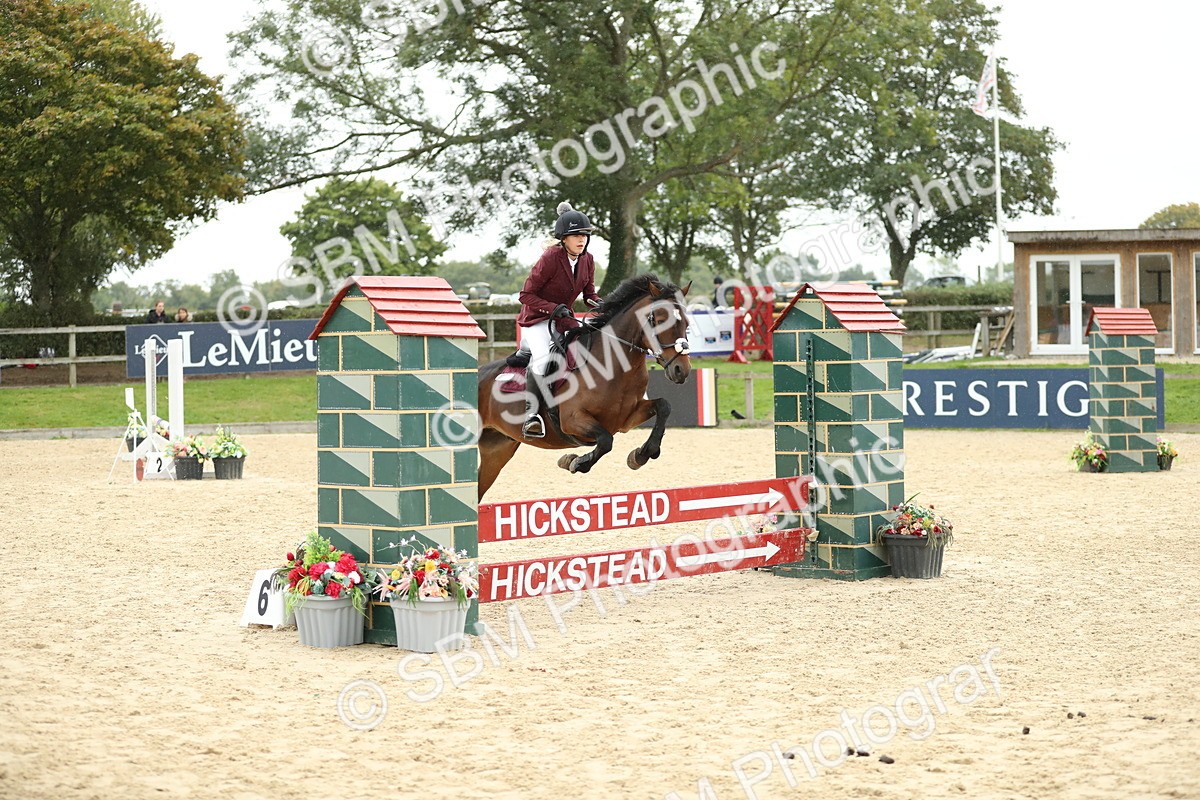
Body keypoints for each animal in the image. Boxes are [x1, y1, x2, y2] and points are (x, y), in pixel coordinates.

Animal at [476, 274, 693, 499]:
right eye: (659, 321)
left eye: (686, 323)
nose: (681, 370)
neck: (614, 365)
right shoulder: (572, 420)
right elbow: (605, 441)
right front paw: (575, 462)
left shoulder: (626, 419)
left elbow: (664, 406)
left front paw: (641, 455)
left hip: (497, 450)